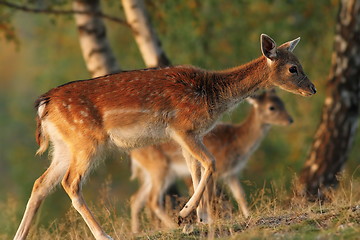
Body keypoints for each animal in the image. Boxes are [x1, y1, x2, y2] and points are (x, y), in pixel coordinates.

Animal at [131, 90, 294, 232]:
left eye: (282, 102)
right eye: (271, 107)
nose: (290, 120)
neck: (237, 142)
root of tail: (133, 152)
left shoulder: (231, 173)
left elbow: (240, 195)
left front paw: (248, 216)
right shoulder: (218, 169)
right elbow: (210, 196)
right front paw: (208, 220)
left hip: (154, 173)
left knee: (137, 199)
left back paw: (137, 230)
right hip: (159, 168)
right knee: (152, 199)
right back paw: (172, 225)